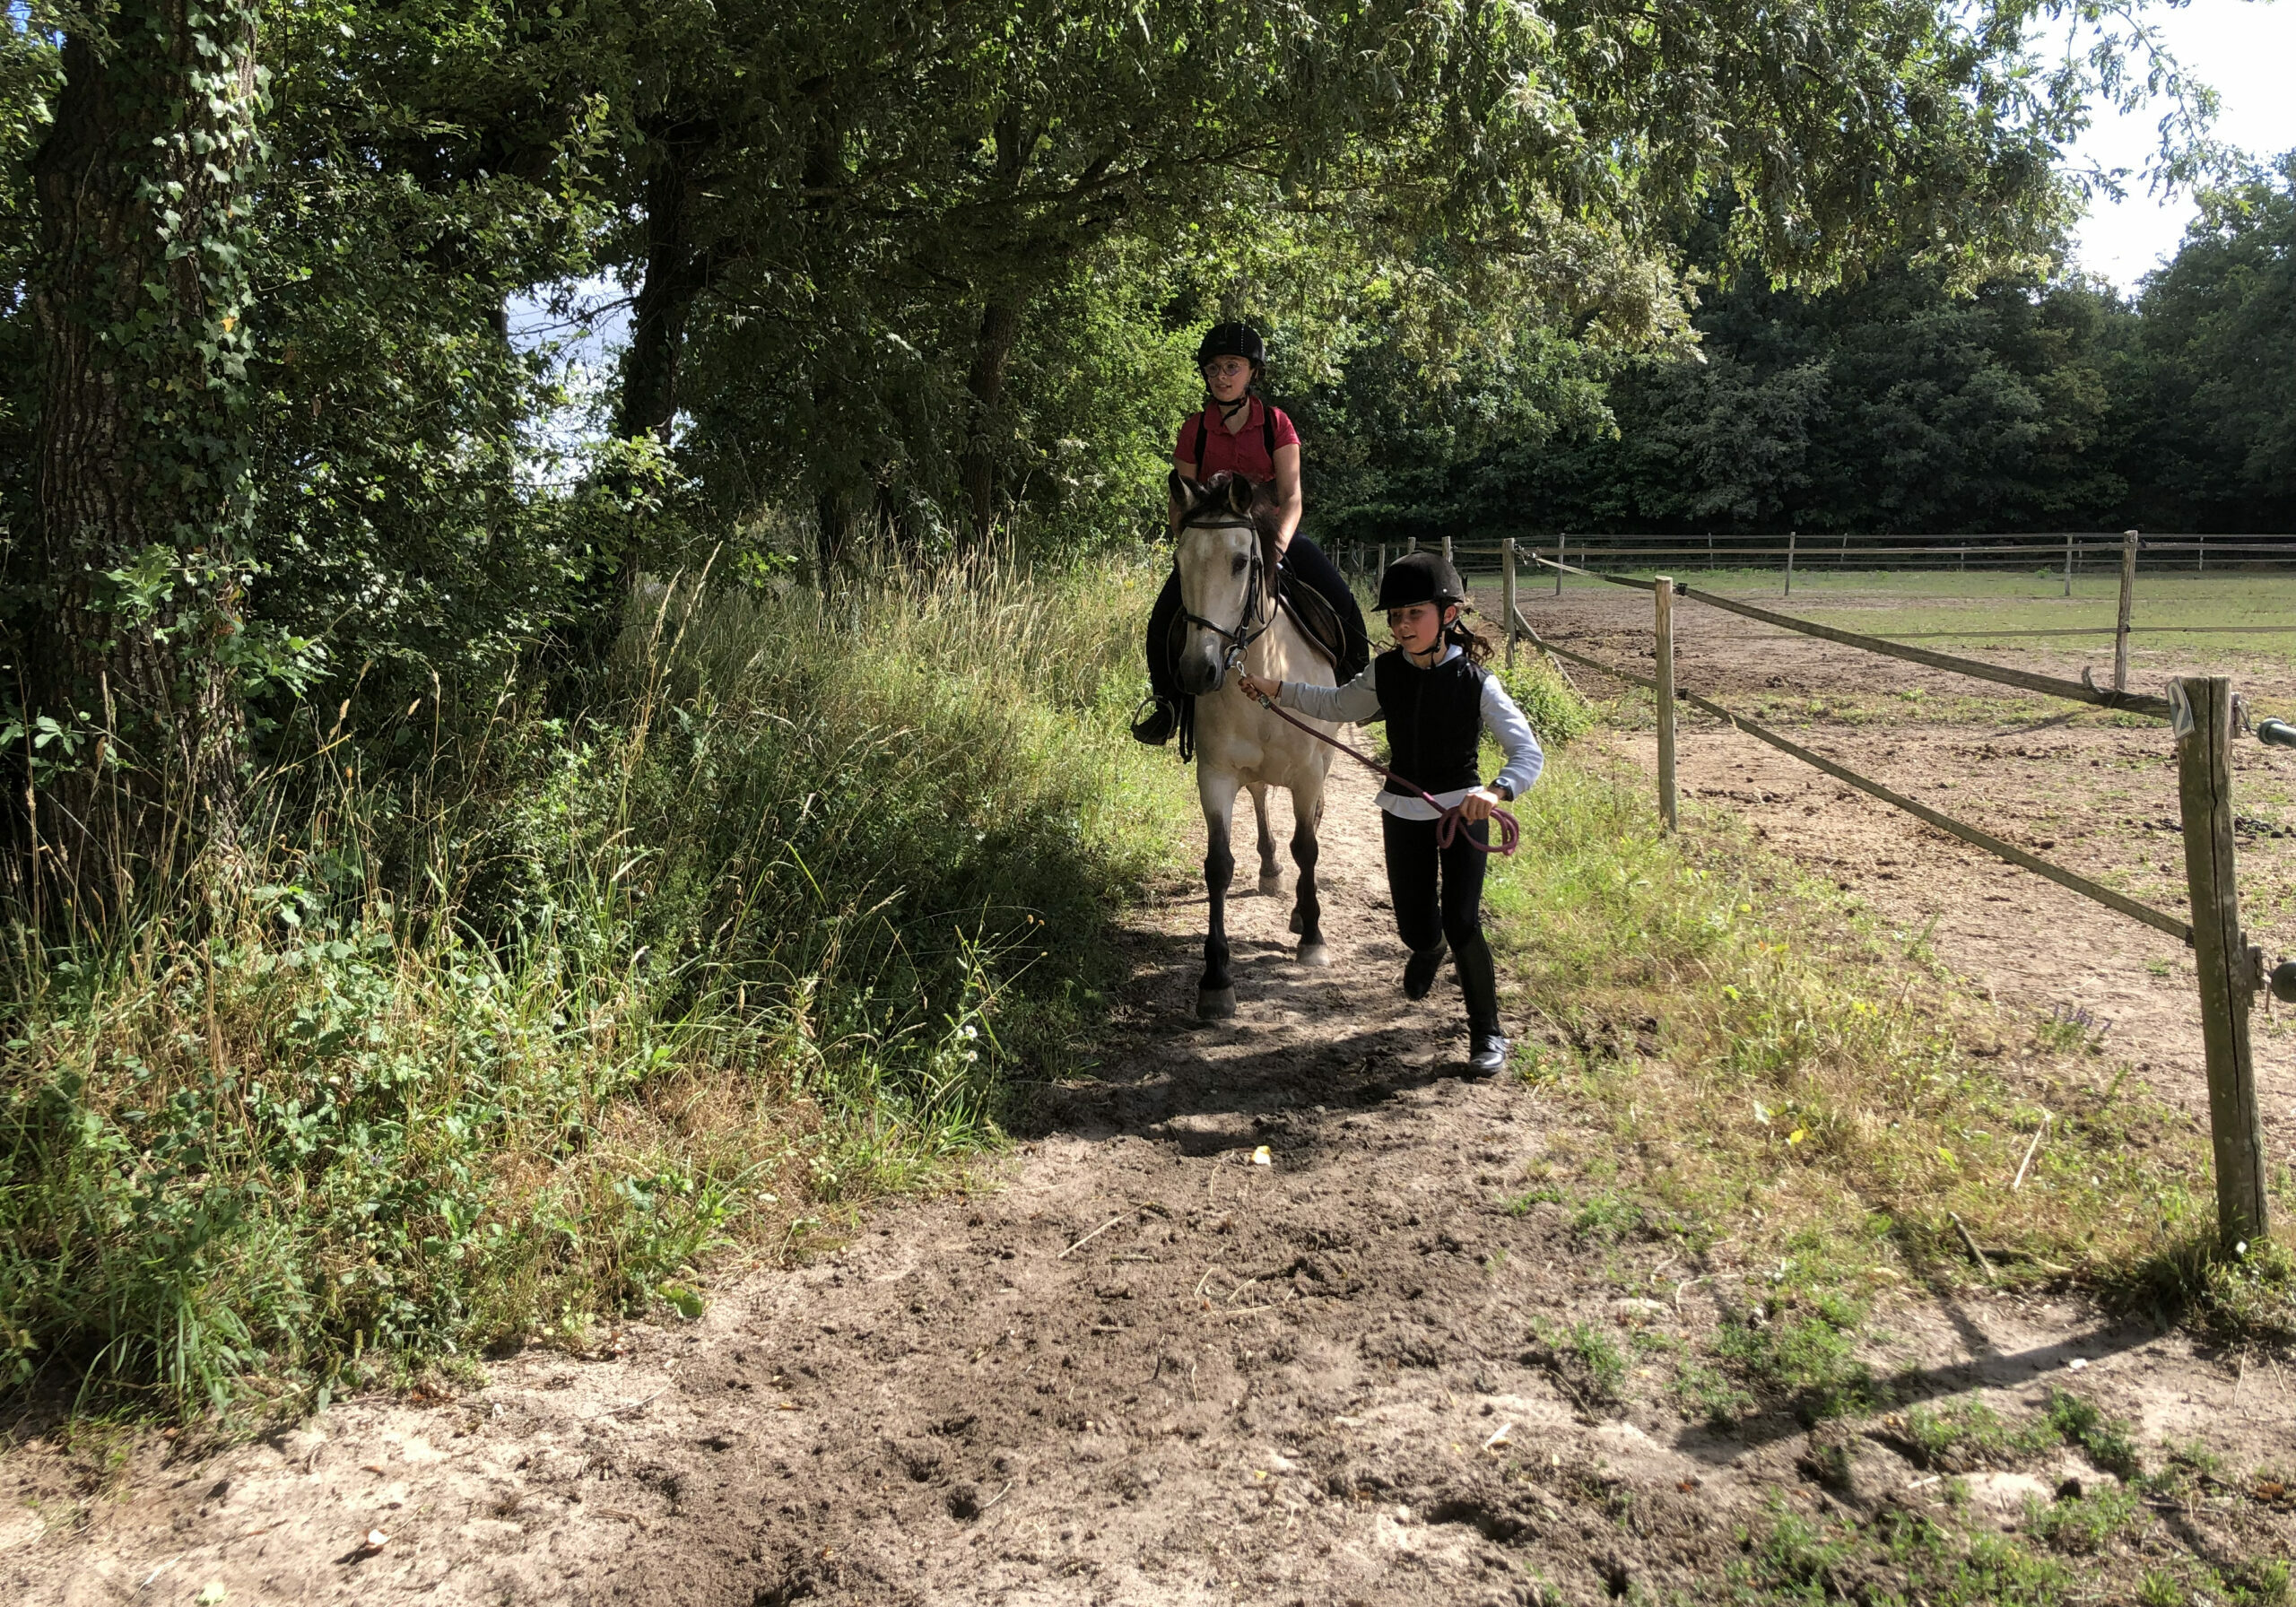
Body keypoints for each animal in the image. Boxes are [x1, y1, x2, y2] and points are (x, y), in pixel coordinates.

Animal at [1166, 470, 1341, 1014]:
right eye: (1180, 560)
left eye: (1241, 561)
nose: (1197, 670)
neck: (1262, 666)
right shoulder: (1216, 774)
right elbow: (1219, 865)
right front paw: (1216, 978)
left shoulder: (1308, 774)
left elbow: (1308, 847)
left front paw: (1312, 936)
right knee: (1262, 795)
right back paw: (1269, 868)